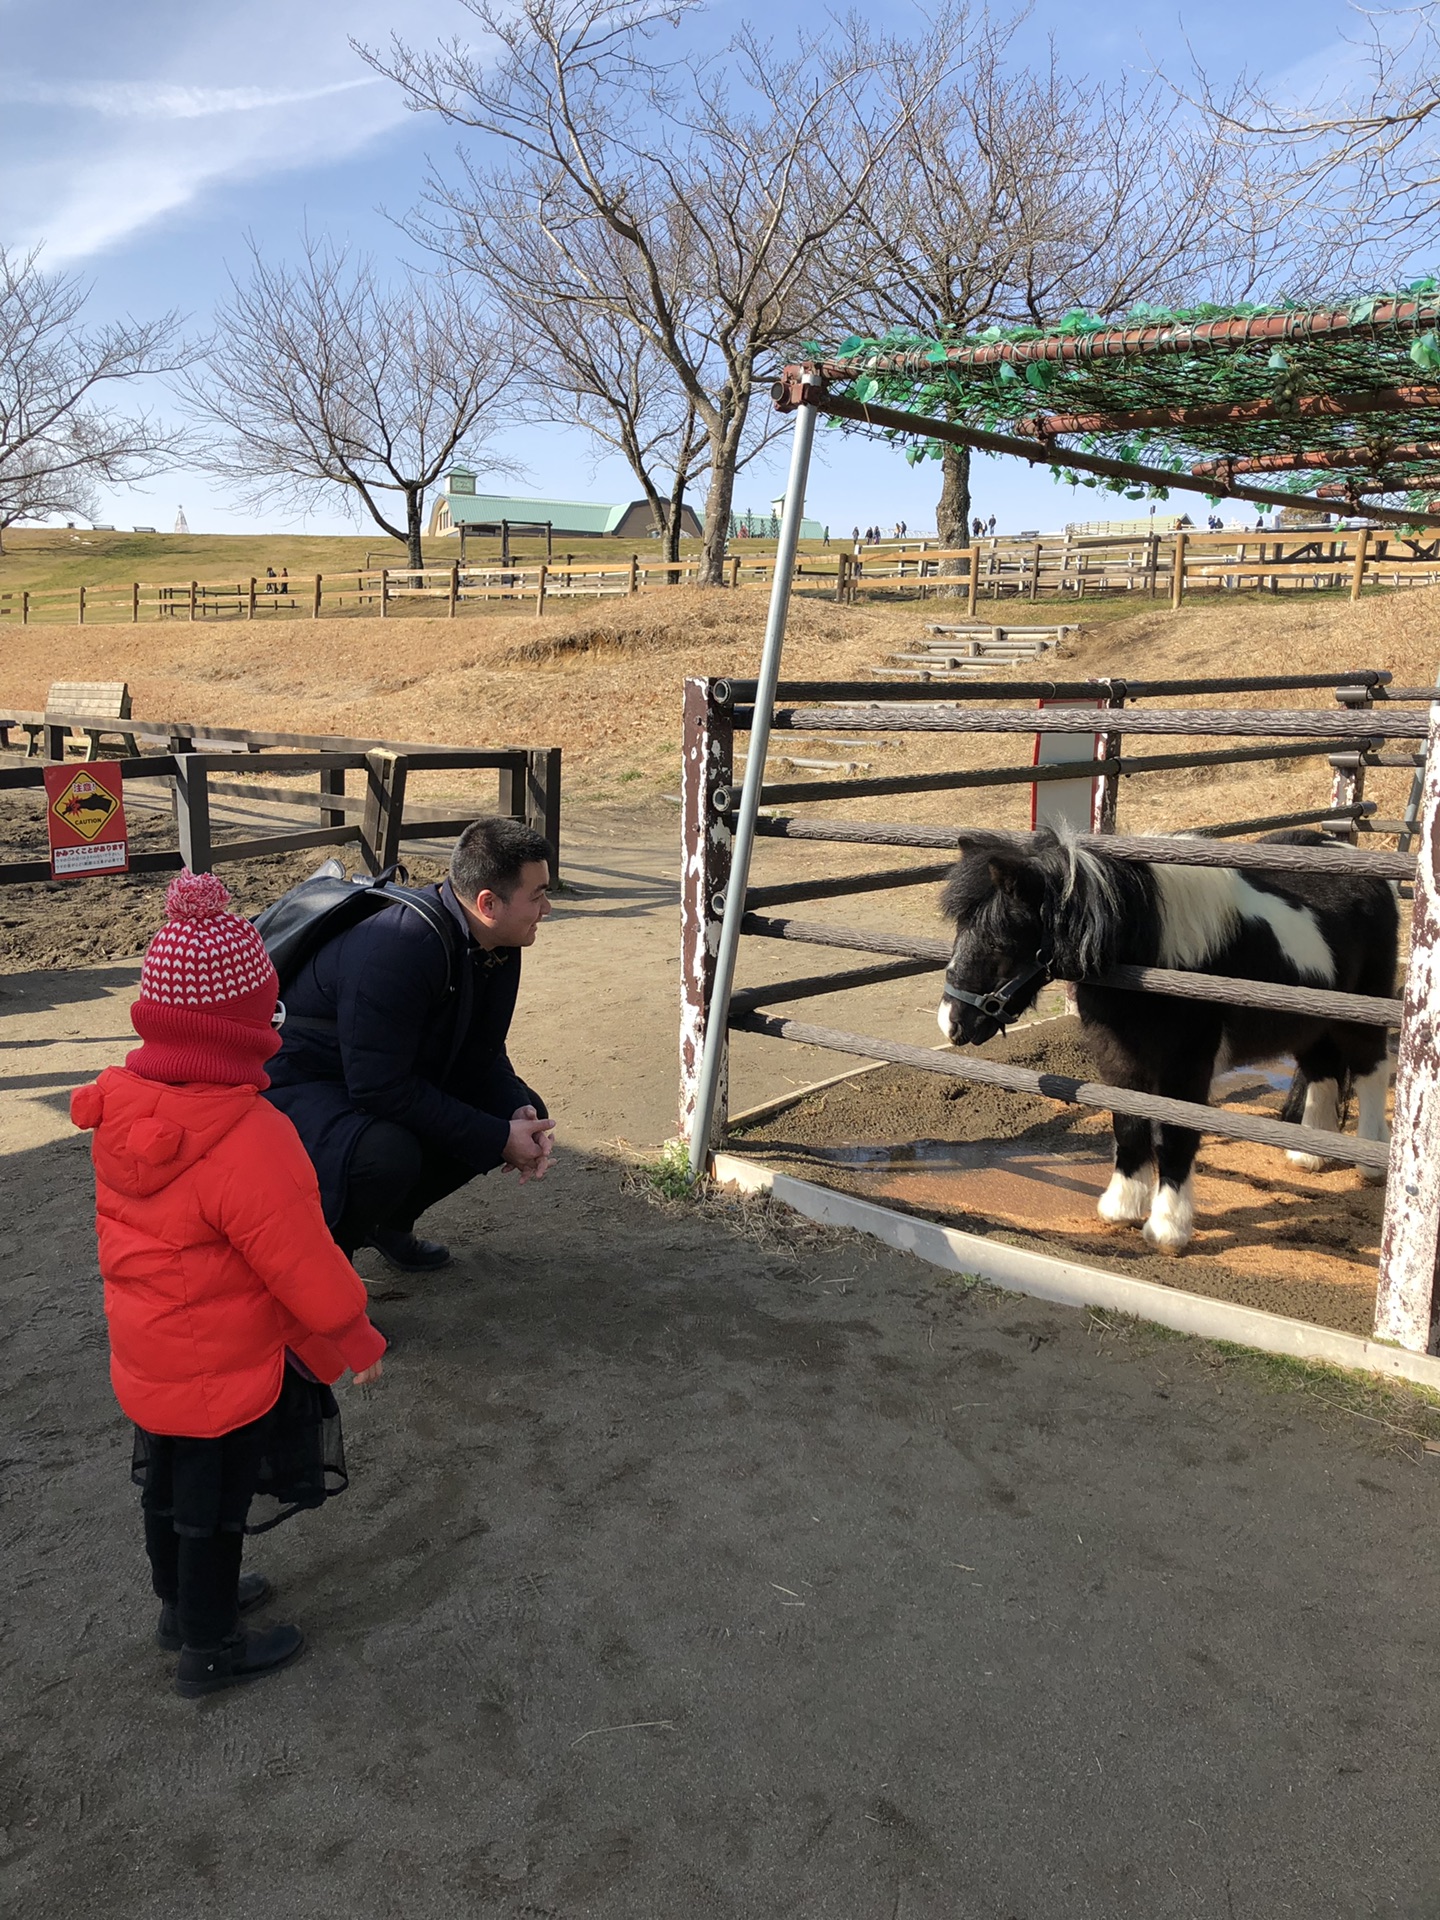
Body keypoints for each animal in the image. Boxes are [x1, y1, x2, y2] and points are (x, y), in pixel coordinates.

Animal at [936, 829, 1397, 1259]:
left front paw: (1168, 1228)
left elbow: (1175, 1136)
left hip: (1362, 1016)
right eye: (961, 930)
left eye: (999, 942)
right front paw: (1122, 1206)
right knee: (1323, 1072)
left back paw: (1371, 1160)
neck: (1155, 948)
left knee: (1372, 1072)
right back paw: (1309, 1155)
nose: (950, 1022)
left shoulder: (1187, 1065)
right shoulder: (1119, 1057)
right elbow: (1128, 1124)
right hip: (1311, 1024)